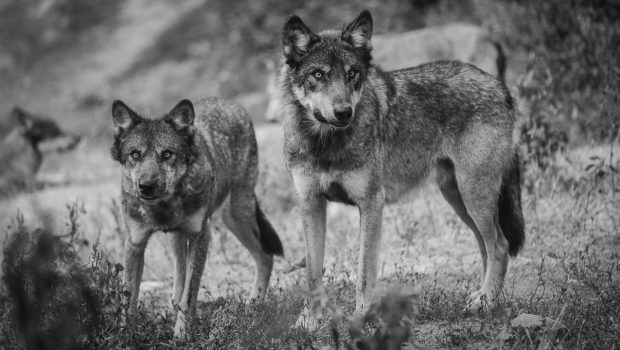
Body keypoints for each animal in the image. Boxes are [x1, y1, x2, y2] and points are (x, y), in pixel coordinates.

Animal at [110, 97, 284, 338]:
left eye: (167, 154)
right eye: (135, 154)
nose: (146, 186)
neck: (164, 207)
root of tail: (230, 102)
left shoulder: (201, 234)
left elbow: (190, 294)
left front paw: (181, 337)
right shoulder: (134, 243)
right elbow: (128, 300)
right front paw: (123, 337)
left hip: (235, 215)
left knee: (265, 256)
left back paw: (254, 307)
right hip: (183, 235)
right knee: (180, 271)